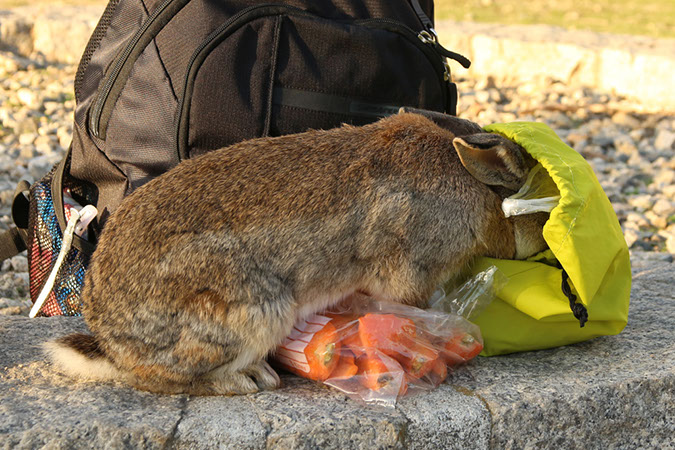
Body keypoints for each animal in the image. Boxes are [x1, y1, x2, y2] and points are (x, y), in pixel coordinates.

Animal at [45, 109, 549, 396]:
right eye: (545, 215)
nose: (548, 255)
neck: (479, 191)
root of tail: (112, 340)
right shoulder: (411, 269)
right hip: (253, 310)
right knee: (155, 378)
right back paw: (248, 381)